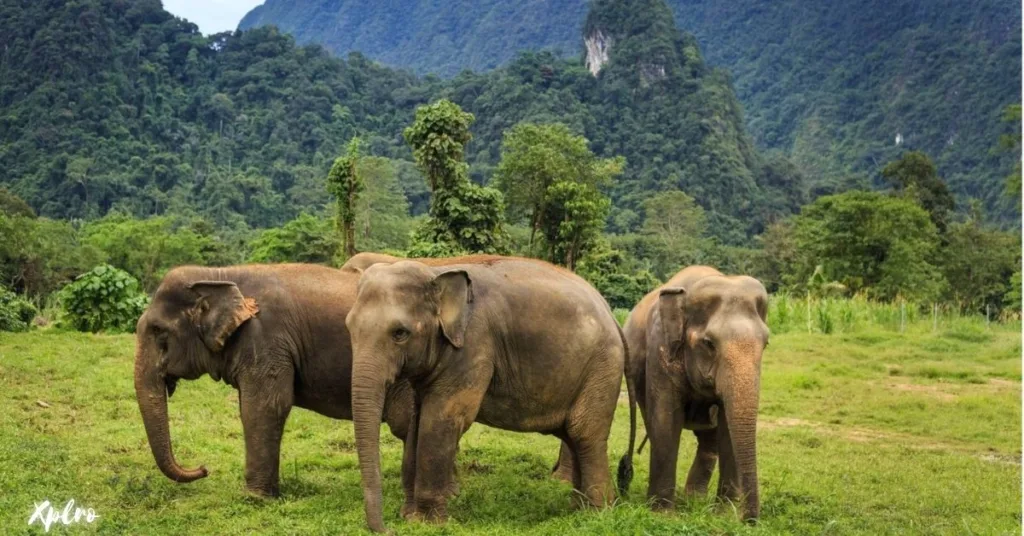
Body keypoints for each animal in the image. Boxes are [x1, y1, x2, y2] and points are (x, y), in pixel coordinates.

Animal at [346, 257, 630, 532]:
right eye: (349, 328)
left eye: (400, 333)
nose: (387, 529)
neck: (435, 273)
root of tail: (611, 315)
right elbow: (418, 421)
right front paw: (409, 515)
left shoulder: (473, 347)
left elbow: (442, 419)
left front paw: (424, 523)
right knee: (572, 435)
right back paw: (576, 510)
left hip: (601, 369)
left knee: (585, 435)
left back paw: (596, 513)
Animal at [614, 266, 770, 522]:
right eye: (709, 343)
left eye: (766, 343)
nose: (749, 521)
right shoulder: (660, 349)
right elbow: (665, 420)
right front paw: (662, 514)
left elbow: (727, 426)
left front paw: (723, 514)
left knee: (709, 441)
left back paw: (694, 499)